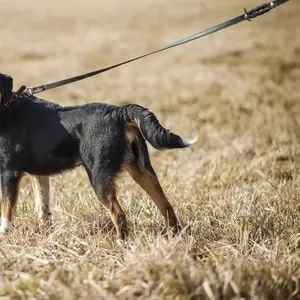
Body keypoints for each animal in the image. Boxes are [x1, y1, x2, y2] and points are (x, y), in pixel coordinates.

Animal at [0, 73, 197, 239]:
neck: (6, 108)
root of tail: (118, 112)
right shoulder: (39, 175)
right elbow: (43, 209)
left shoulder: (9, 173)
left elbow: (6, 212)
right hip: (142, 171)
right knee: (167, 207)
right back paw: (177, 239)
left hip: (99, 177)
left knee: (119, 215)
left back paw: (121, 245)